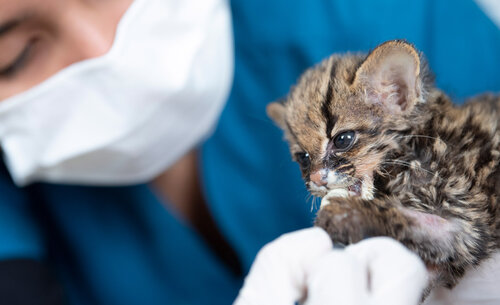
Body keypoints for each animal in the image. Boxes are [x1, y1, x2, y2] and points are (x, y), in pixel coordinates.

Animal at [268, 39, 500, 290]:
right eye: (303, 157)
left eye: (342, 139)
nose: (316, 179)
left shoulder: (470, 219)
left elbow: (414, 220)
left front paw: (346, 214)